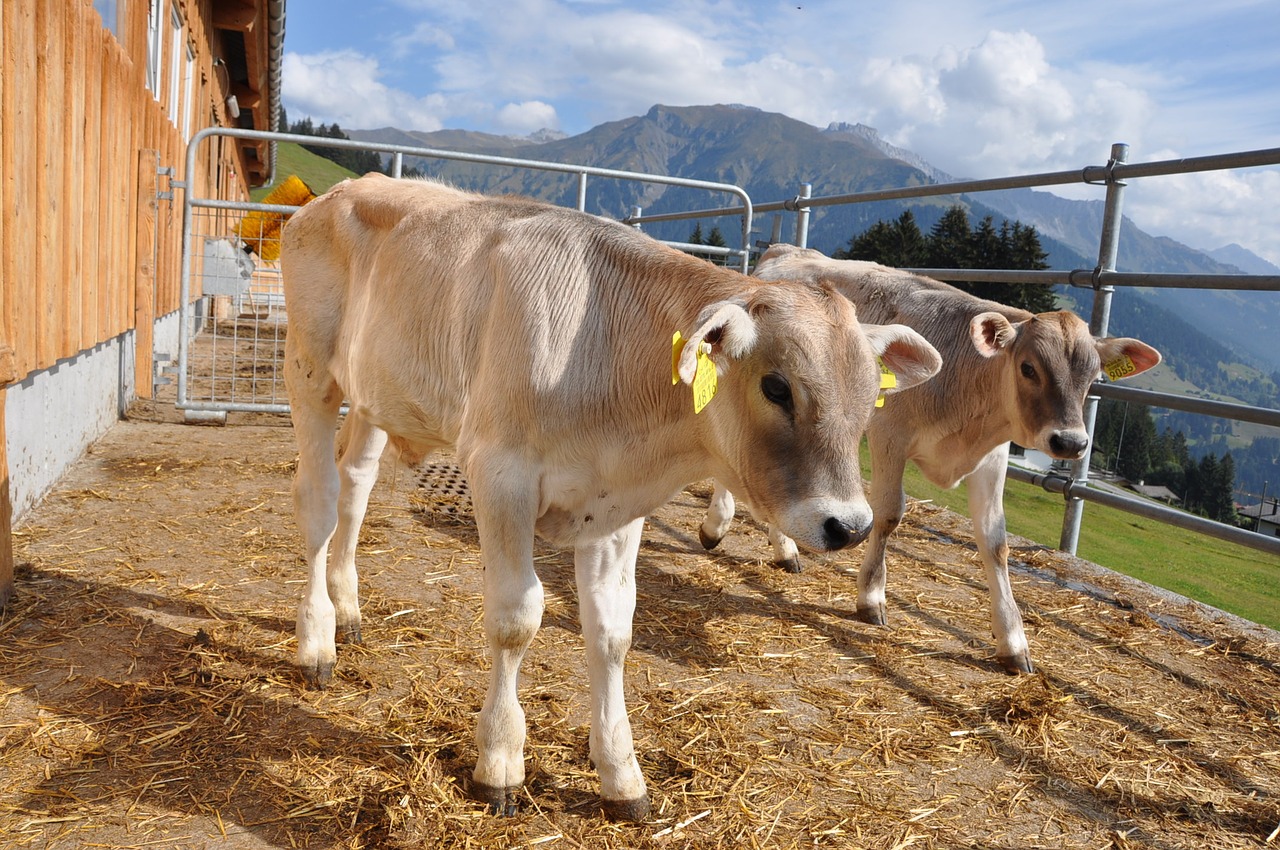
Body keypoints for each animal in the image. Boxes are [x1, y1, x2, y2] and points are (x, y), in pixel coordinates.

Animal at [279, 175, 942, 821]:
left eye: (871, 396)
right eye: (777, 387)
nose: (849, 525)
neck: (601, 355)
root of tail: (334, 193)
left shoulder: (616, 506)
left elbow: (611, 631)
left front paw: (621, 774)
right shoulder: (499, 475)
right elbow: (516, 620)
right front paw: (500, 762)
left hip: (375, 398)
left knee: (356, 487)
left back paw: (348, 607)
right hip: (310, 371)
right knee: (318, 504)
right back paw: (316, 641)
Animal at [700, 243, 1160, 675]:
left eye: (1094, 377)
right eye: (1028, 368)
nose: (1070, 441)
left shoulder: (992, 458)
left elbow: (996, 542)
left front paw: (1013, 641)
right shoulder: (890, 435)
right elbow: (887, 514)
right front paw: (871, 597)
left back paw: (784, 548)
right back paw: (719, 524)